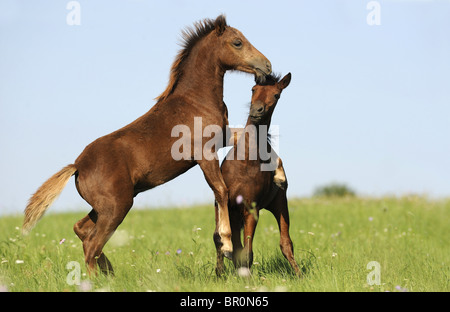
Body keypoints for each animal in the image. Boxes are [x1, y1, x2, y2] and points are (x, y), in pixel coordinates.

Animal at [22, 15, 270, 272]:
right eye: (237, 42)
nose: (267, 66)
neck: (195, 101)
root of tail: (77, 166)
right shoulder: (204, 154)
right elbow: (221, 190)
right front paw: (228, 245)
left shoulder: (222, 138)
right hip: (116, 207)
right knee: (92, 245)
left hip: (104, 207)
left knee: (82, 230)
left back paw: (111, 272)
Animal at [215, 74, 302, 276]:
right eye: (253, 89)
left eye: (277, 94)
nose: (257, 110)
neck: (245, 162)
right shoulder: (222, 205)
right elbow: (220, 239)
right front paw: (219, 274)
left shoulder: (251, 209)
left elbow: (247, 252)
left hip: (279, 204)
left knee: (286, 243)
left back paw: (299, 274)